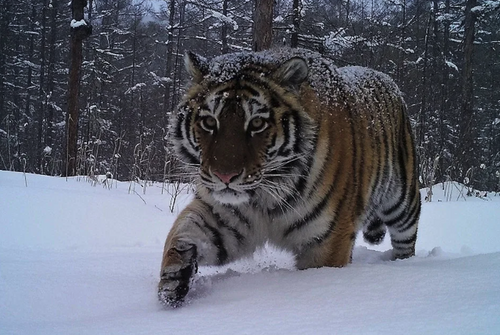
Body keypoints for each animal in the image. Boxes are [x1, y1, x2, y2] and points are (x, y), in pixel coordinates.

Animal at [159, 47, 422, 308]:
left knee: (406, 240)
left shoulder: (327, 240)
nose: (225, 176)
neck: (264, 196)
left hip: (403, 203)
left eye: (257, 123)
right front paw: (172, 282)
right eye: (209, 121)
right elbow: (180, 232)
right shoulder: (224, 217)